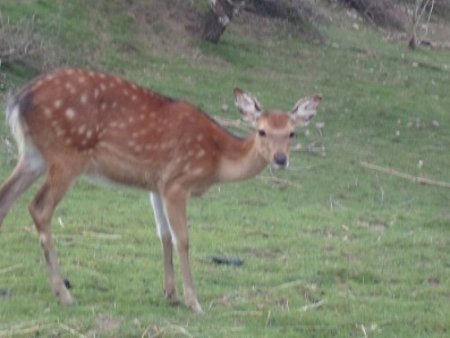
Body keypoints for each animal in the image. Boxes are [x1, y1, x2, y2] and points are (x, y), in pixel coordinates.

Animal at [0, 67, 320, 312]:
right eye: (261, 131)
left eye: (292, 133)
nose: (280, 159)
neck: (216, 160)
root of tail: (18, 99)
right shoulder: (177, 182)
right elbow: (183, 239)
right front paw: (194, 301)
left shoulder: (155, 184)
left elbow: (163, 235)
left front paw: (171, 294)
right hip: (67, 154)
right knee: (39, 207)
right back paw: (65, 294)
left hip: (33, 154)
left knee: (5, 198)